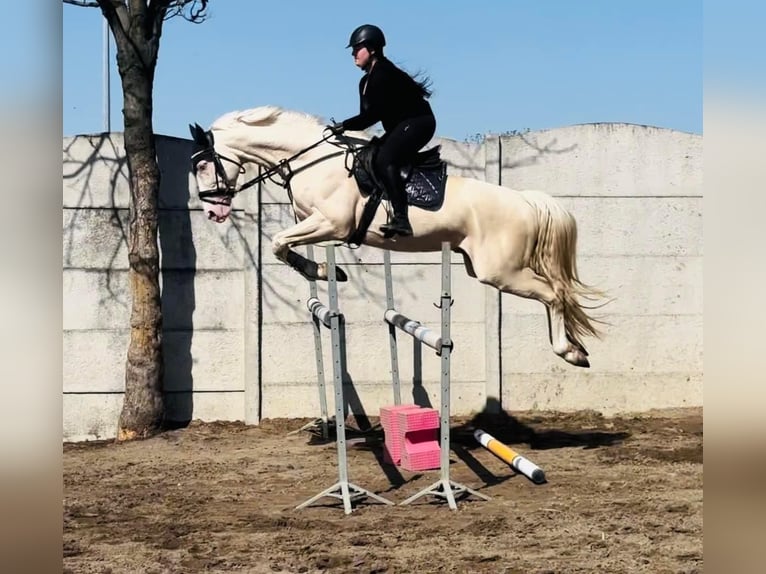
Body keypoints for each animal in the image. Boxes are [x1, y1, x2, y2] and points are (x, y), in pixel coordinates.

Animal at [189, 105, 605, 368]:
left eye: (205, 164)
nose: (212, 211)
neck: (310, 160)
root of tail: (525, 201)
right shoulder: (310, 222)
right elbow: (284, 245)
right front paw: (325, 272)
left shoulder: (333, 224)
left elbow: (278, 243)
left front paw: (324, 272)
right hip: (486, 268)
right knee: (556, 292)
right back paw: (577, 348)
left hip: (500, 271)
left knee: (555, 292)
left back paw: (570, 352)